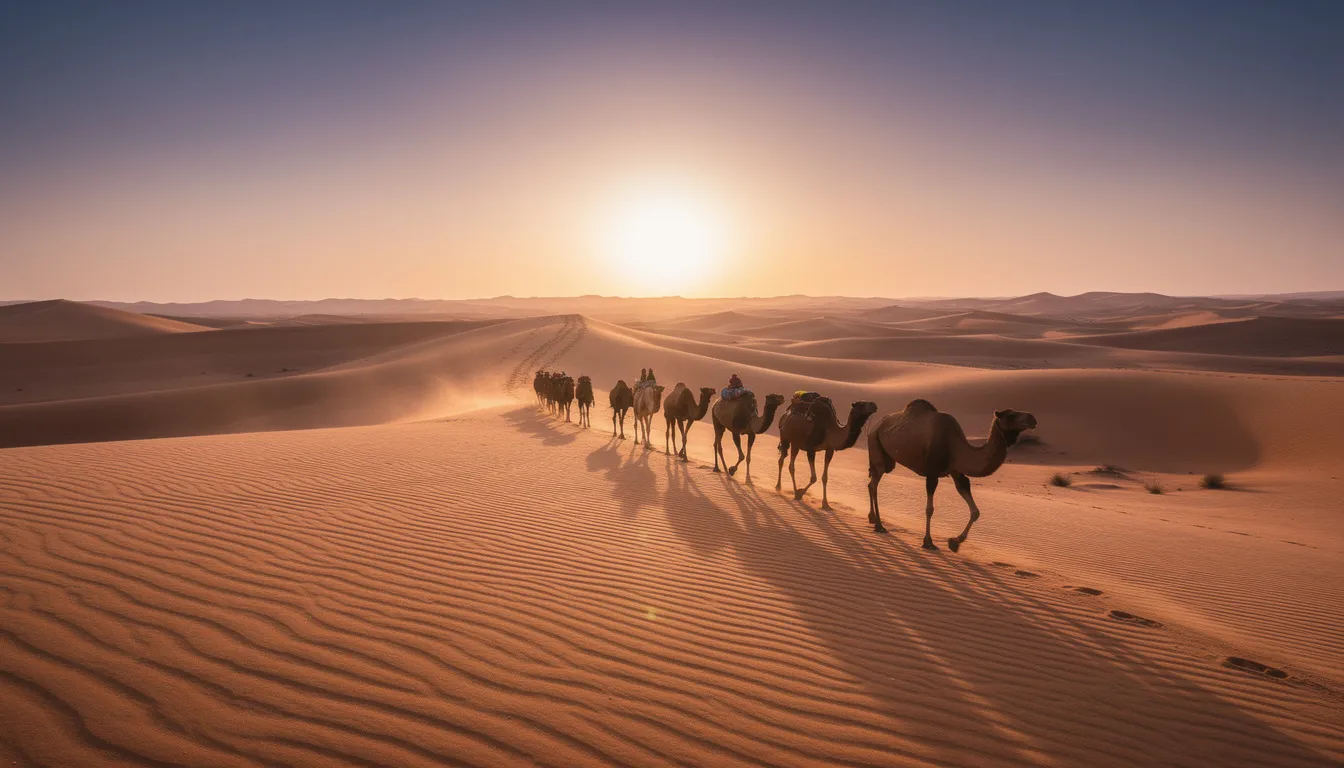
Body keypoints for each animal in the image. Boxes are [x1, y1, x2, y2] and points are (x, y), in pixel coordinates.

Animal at [867, 399, 1037, 551]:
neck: (955, 446)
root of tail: (874, 426)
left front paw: (955, 542)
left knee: (870, 483)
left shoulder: (956, 471)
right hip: (876, 446)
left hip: (886, 457)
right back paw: (879, 525)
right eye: (1011, 415)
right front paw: (928, 542)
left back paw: (872, 518)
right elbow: (930, 509)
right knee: (875, 484)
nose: (1032, 419)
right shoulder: (932, 473)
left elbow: (975, 511)